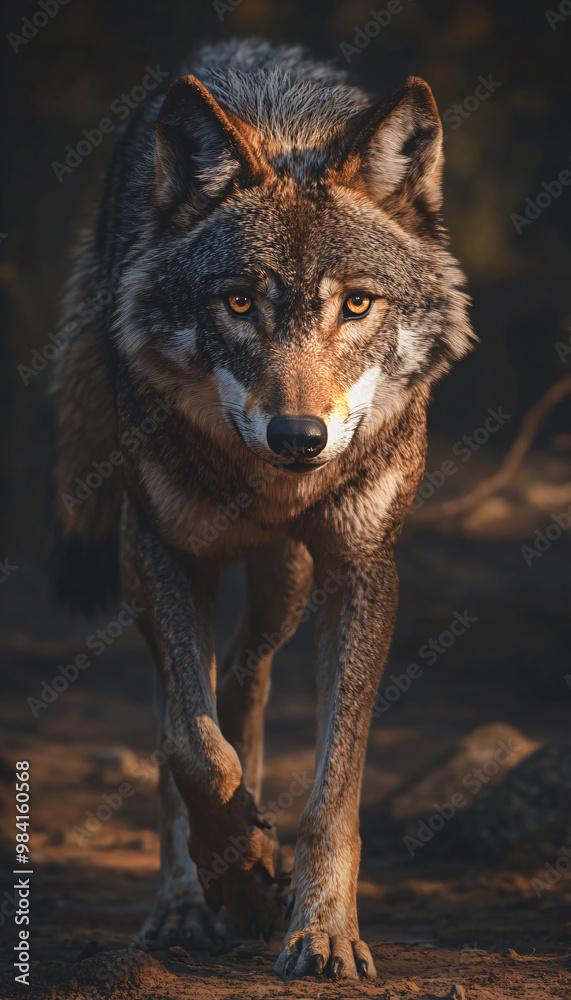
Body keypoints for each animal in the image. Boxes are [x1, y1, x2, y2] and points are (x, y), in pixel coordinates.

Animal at [52, 37, 474, 980]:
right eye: (239, 302)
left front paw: (320, 929)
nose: (298, 436)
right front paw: (238, 877)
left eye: (356, 303)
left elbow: (333, 788)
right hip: (156, 566)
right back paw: (185, 905)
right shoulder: (164, 550)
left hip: (286, 580)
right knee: (186, 713)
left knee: (246, 679)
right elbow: (190, 751)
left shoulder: (360, 567)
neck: (275, 487)